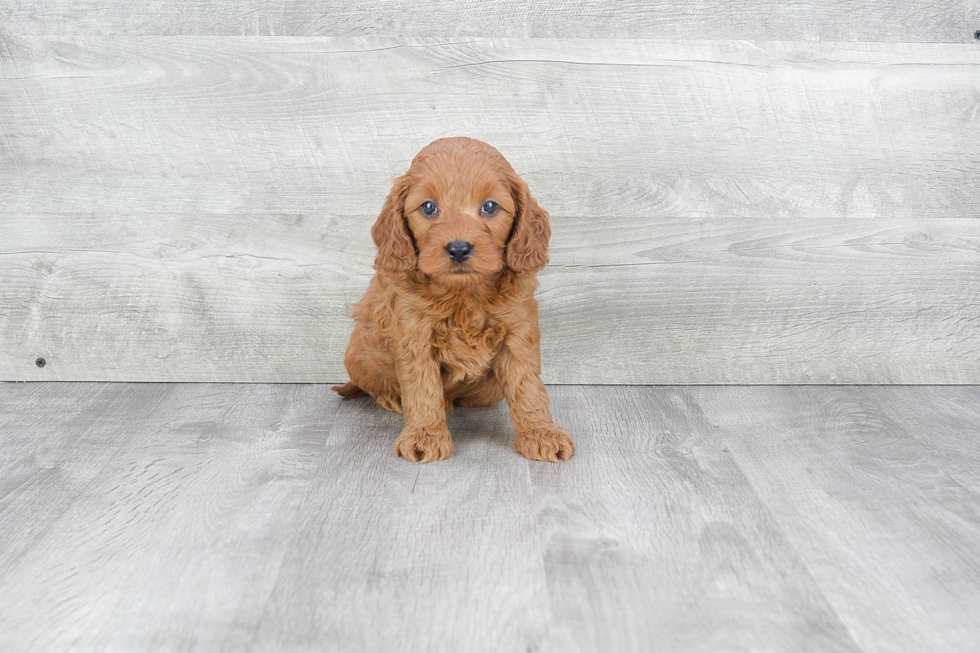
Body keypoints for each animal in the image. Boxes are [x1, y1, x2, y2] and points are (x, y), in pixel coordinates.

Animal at [334, 136, 576, 464]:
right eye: (428, 207)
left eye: (490, 206)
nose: (459, 248)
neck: (464, 293)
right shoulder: (414, 334)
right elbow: (422, 387)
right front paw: (425, 435)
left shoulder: (517, 330)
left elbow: (527, 386)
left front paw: (540, 433)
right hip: (357, 357)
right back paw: (394, 397)